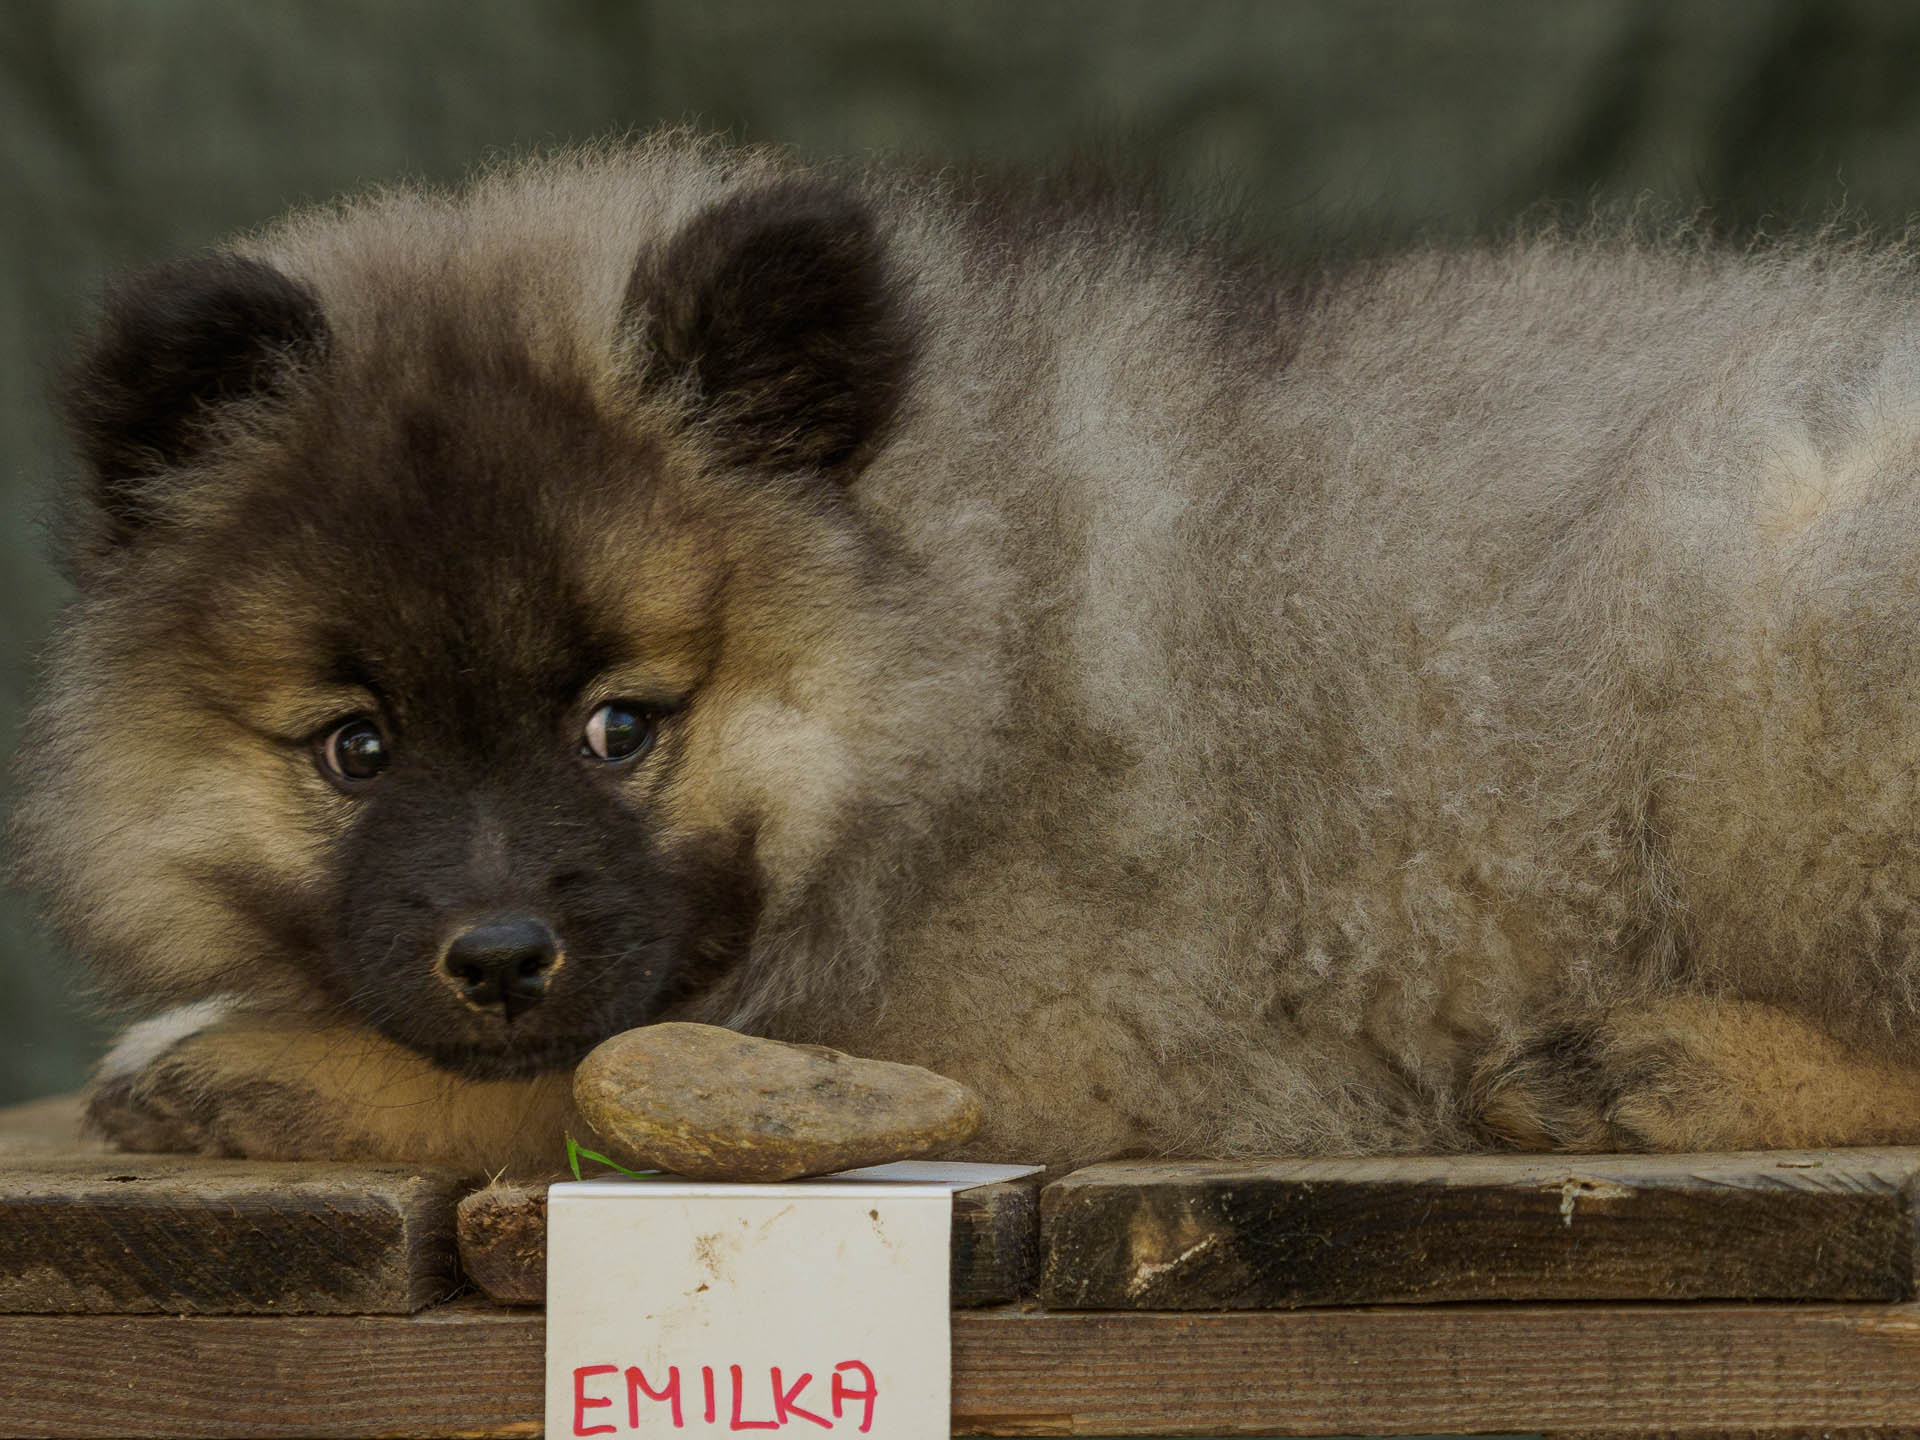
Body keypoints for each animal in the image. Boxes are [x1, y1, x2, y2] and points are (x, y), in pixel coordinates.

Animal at [18, 129, 1920, 1175]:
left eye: (624, 725)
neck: (959, 626)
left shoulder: (997, 1047)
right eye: (357, 748)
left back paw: (1650, 1068)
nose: (496, 957)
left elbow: (605, 1079)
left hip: (1786, 632)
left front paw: (253, 1067)